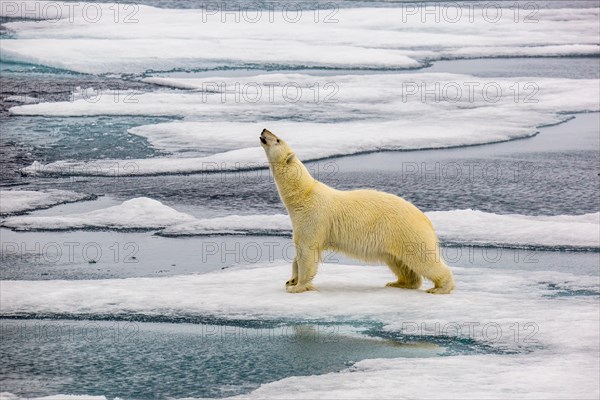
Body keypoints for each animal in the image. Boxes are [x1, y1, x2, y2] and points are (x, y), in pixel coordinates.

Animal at [258, 129, 454, 294]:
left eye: (277, 139)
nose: (264, 130)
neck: (303, 195)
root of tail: (424, 218)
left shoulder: (313, 218)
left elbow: (307, 252)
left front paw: (297, 287)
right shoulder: (301, 221)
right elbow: (298, 252)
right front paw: (291, 280)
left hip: (406, 232)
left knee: (423, 259)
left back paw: (439, 288)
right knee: (399, 262)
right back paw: (399, 283)